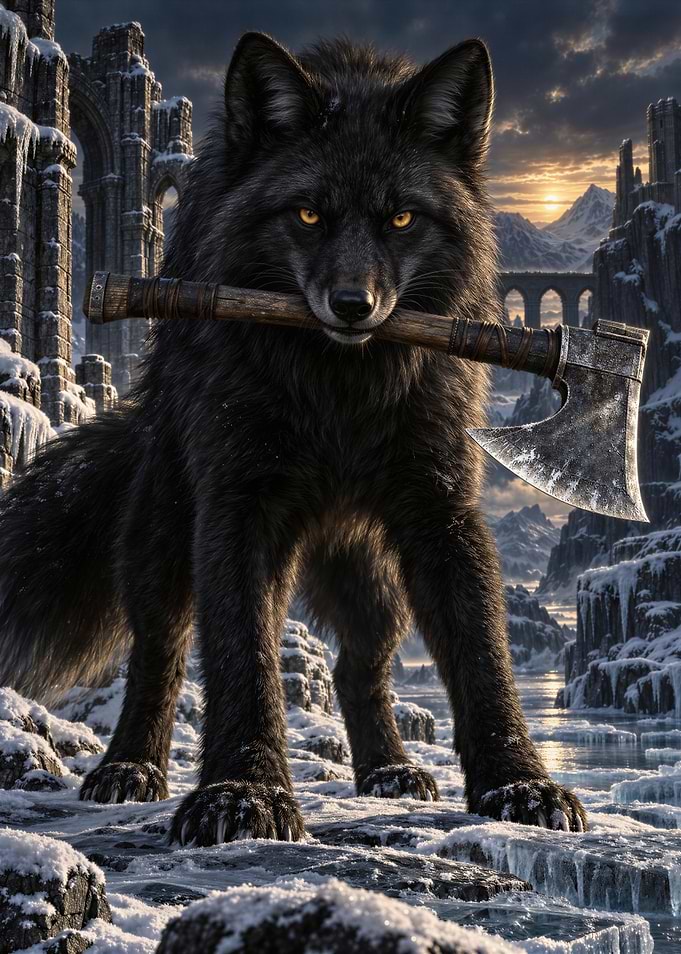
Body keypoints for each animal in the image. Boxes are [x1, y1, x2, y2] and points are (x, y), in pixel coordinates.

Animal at [0, 33, 587, 843]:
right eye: (308, 215)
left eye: (402, 220)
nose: (352, 305)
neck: (339, 387)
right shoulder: (237, 505)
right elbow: (241, 652)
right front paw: (243, 795)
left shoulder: (440, 507)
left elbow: (481, 653)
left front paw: (519, 786)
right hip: (165, 533)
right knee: (159, 651)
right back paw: (129, 770)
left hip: (370, 574)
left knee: (358, 667)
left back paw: (389, 772)